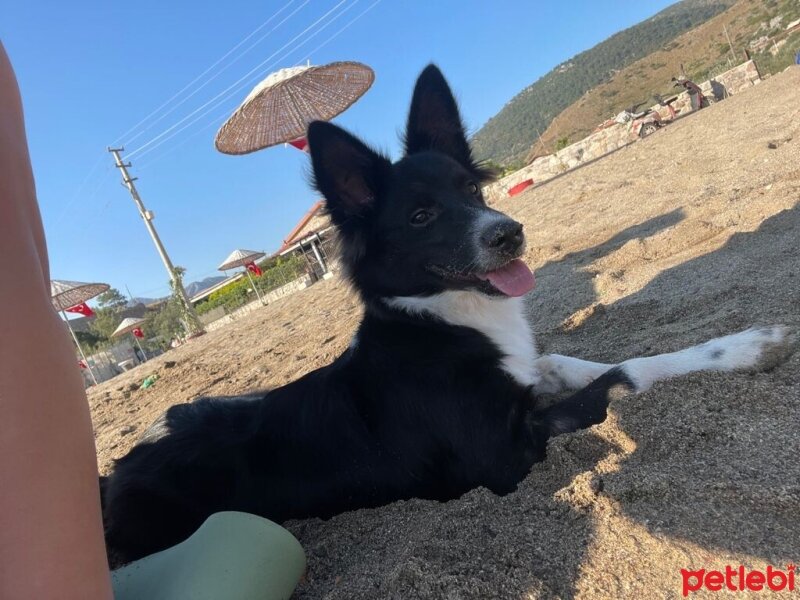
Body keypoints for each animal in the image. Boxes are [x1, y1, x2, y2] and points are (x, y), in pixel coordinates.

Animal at [103, 65, 792, 564]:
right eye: (419, 216)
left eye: (472, 189)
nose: (510, 233)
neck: (441, 320)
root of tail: (110, 480)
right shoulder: (507, 456)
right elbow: (617, 379)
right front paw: (745, 348)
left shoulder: (529, 373)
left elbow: (587, 360)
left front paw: (737, 346)